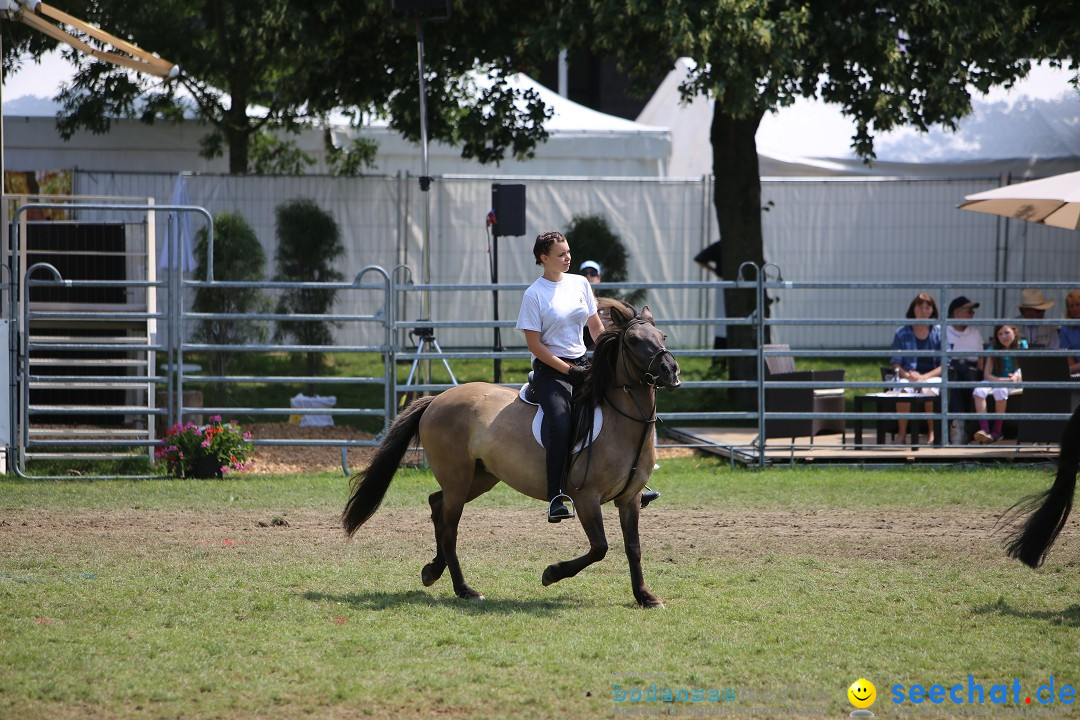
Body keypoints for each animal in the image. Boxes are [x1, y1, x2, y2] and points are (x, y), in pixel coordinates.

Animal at [341, 304, 678, 608]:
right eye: (633, 340)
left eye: (661, 336)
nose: (670, 370)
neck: (620, 422)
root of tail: (437, 399)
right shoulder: (586, 498)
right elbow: (600, 547)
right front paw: (551, 573)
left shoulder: (630, 498)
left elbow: (633, 547)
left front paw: (645, 597)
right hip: (458, 479)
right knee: (449, 528)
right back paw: (465, 590)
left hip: (480, 477)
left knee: (436, 505)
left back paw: (433, 571)